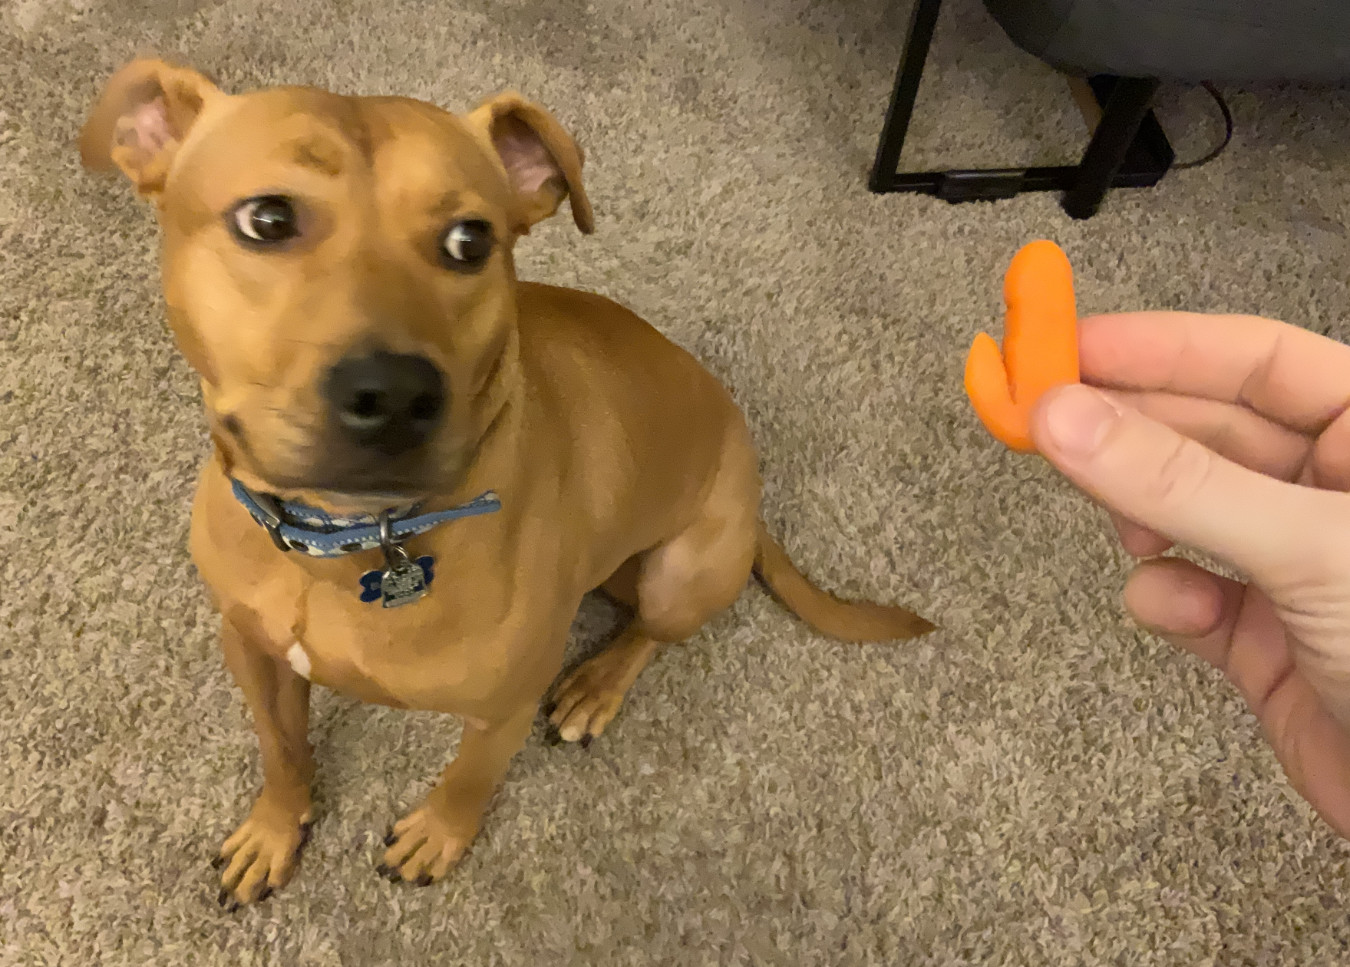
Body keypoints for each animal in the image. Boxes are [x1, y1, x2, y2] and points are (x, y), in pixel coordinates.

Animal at [78, 58, 934, 907]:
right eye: (267, 220)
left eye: (470, 240)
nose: (395, 394)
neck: (347, 539)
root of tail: (751, 495)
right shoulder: (251, 653)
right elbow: (282, 750)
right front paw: (274, 830)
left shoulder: (501, 708)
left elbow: (468, 779)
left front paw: (438, 834)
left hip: (682, 571)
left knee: (651, 634)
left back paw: (596, 685)